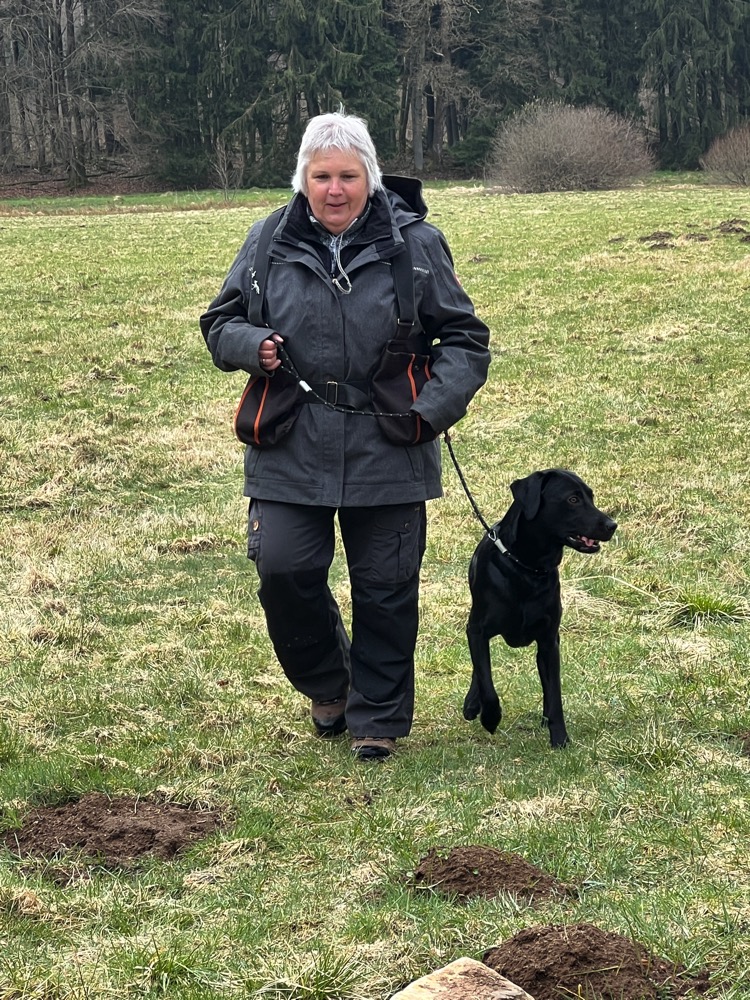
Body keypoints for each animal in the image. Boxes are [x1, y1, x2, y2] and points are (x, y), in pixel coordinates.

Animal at [462, 469, 617, 748]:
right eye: (573, 499)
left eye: (591, 496)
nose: (612, 525)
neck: (527, 568)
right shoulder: (477, 630)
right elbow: (486, 681)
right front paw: (490, 717)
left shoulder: (548, 640)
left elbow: (554, 692)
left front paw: (560, 738)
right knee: (480, 668)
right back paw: (472, 704)